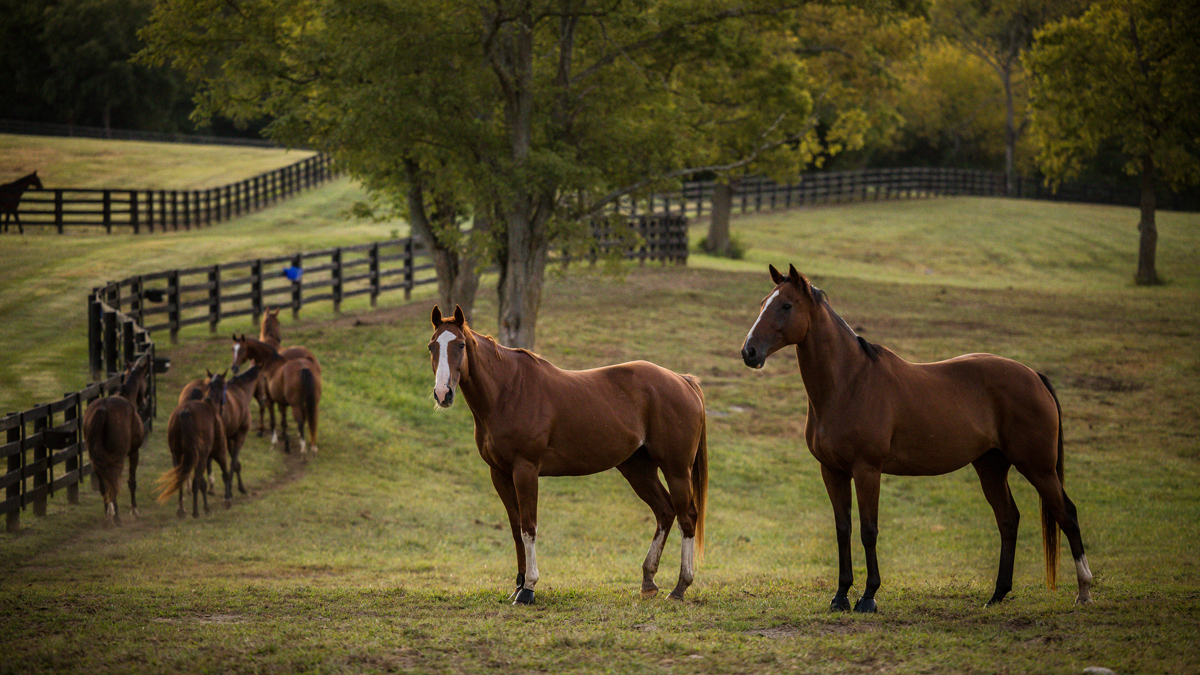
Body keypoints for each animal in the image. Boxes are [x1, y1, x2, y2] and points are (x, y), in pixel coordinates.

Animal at [82, 357, 150, 527]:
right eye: (145, 380)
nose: (144, 403)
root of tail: (104, 409)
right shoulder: (134, 453)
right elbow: (131, 481)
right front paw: (134, 510)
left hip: (95, 460)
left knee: (104, 485)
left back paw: (108, 514)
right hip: (117, 458)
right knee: (113, 483)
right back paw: (116, 517)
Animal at [157, 371, 233, 518]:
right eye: (225, 386)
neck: (210, 405)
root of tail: (186, 411)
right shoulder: (220, 451)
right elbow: (224, 473)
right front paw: (227, 499)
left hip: (177, 455)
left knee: (180, 478)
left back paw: (182, 509)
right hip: (202, 456)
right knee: (196, 480)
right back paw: (196, 511)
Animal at [429, 305, 709, 605]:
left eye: (460, 345)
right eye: (432, 346)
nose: (443, 393)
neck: (508, 392)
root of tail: (683, 381)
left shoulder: (526, 470)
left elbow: (529, 527)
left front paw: (528, 588)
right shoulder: (500, 473)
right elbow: (516, 528)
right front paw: (518, 584)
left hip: (676, 469)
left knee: (687, 517)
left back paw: (680, 587)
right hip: (638, 469)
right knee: (665, 512)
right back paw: (648, 581)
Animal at [740, 264, 1093, 612]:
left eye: (786, 306)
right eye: (763, 303)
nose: (749, 351)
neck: (849, 384)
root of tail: (1035, 376)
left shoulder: (867, 470)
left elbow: (868, 530)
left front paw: (868, 596)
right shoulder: (832, 471)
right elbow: (843, 530)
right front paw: (840, 596)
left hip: (1038, 468)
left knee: (1067, 514)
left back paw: (1084, 591)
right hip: (991, 466)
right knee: (1008, 520)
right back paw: (997, 595)